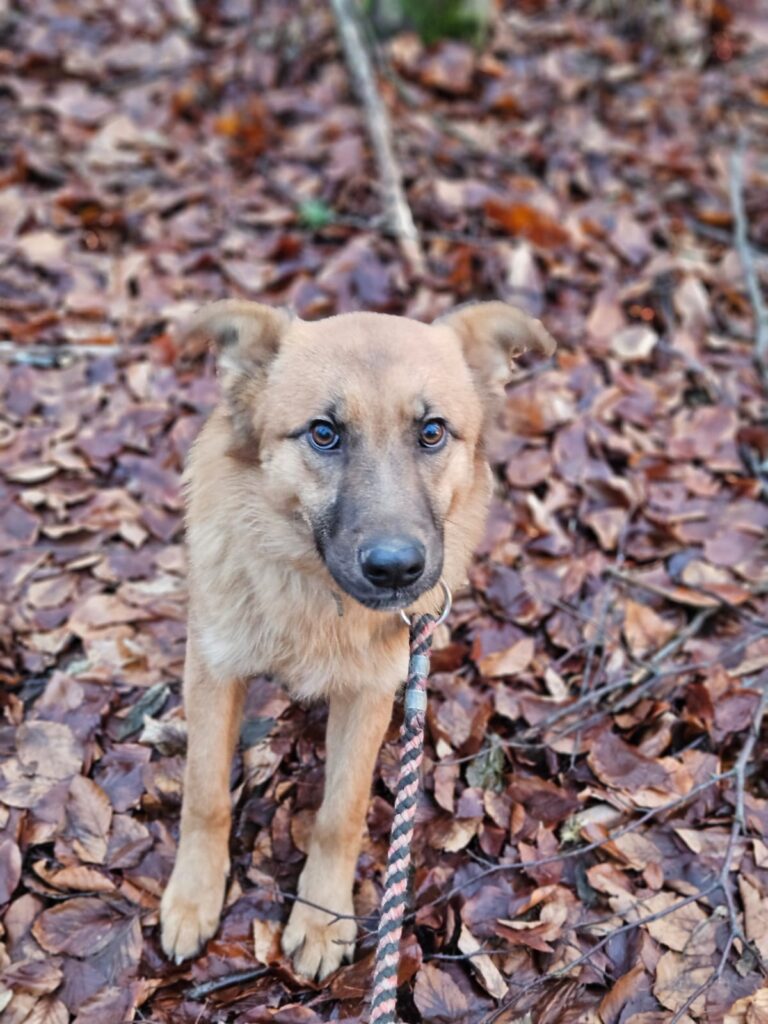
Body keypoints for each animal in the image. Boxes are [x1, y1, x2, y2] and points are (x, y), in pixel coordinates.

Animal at [159, 300, 556, 979]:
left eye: (432, 432)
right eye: (324, 433)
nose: (396, 569)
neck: (314, 594)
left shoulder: (368, 695)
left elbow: (339, 815)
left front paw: (321, 919)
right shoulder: (213, 670)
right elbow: (205, 793)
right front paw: (194, 896)